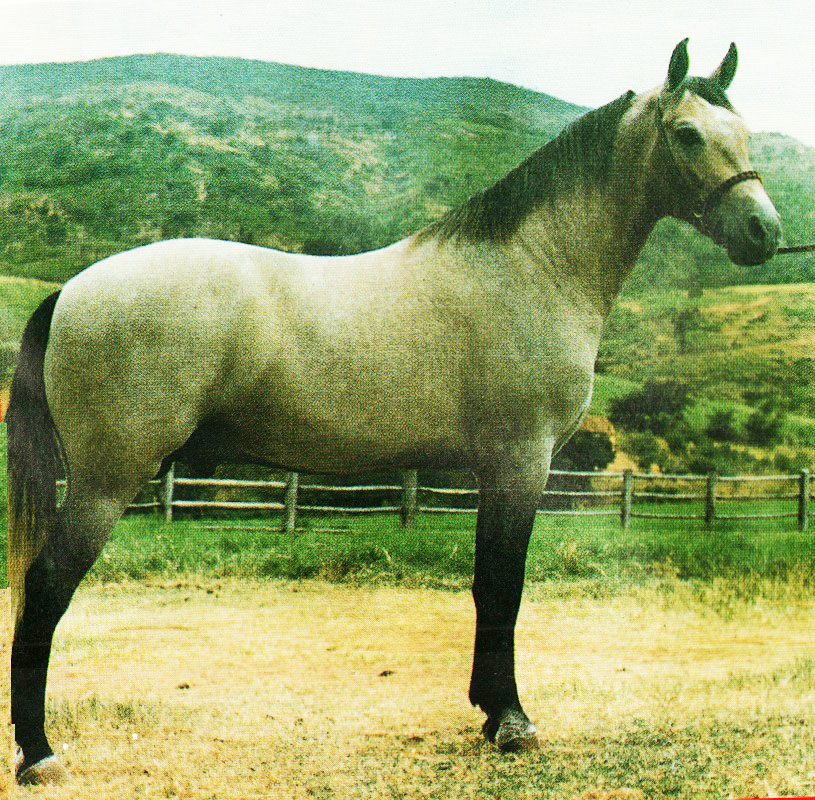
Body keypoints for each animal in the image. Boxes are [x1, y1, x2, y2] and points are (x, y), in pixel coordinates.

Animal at [7, 40, 784, 784]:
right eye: (686, 134)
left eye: (743, 131)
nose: (764, 232)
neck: (534, 266)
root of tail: (72, 290)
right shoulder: (521, 461)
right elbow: (503, 586)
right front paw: (510, 721)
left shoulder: (493, 469)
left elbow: (486, 585)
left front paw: (487, 710)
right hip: (107, 481)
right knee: (44, 590)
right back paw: (40, 754)